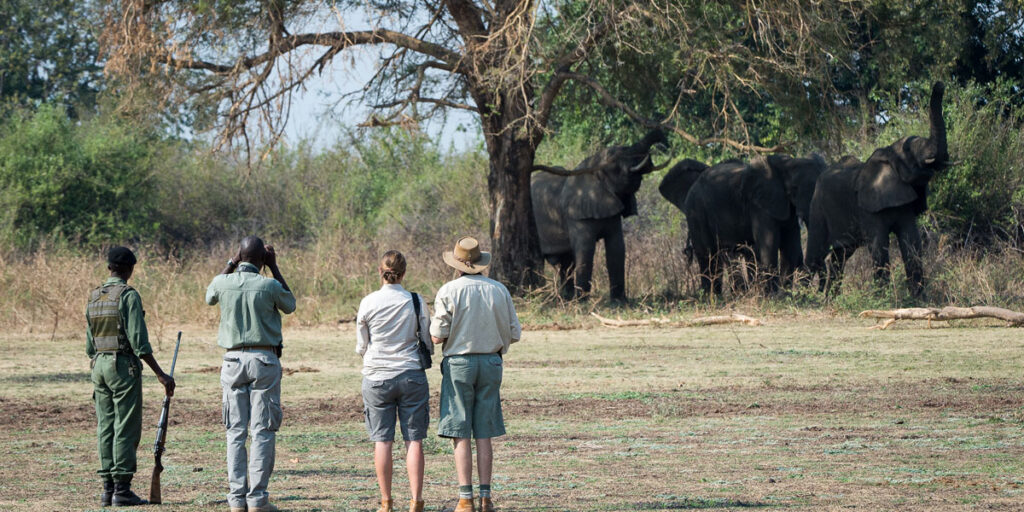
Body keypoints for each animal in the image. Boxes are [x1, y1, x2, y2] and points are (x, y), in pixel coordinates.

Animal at [531, 128, 669, 301]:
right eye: (612, 158)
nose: (666, 145)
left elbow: (617, 247)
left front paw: (619, 302)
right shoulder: (576, 214)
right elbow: (586, 250)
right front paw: (582, 301)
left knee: (566, 261)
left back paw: (566, 297)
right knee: (541, 260)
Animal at [659, 153, 826, 295]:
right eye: (795, 189)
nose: (817, 292)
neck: (787, 163)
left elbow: (790, 250)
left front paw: (785, 295)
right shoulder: (758, 205)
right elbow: (769, 246)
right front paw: (773, 296)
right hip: (697, 212)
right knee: (708, 256)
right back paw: (711, 298)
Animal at [805, 82, 949, 297]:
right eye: (909, 151)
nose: (939, 84)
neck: (888, 154)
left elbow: (912, 244)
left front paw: (919, 300)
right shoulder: (867, 208)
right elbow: (879, 247)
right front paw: (884, 300)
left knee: (841, 255)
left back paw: (830, 299)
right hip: (817, 204)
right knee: (815, 255)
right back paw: (803, 297)